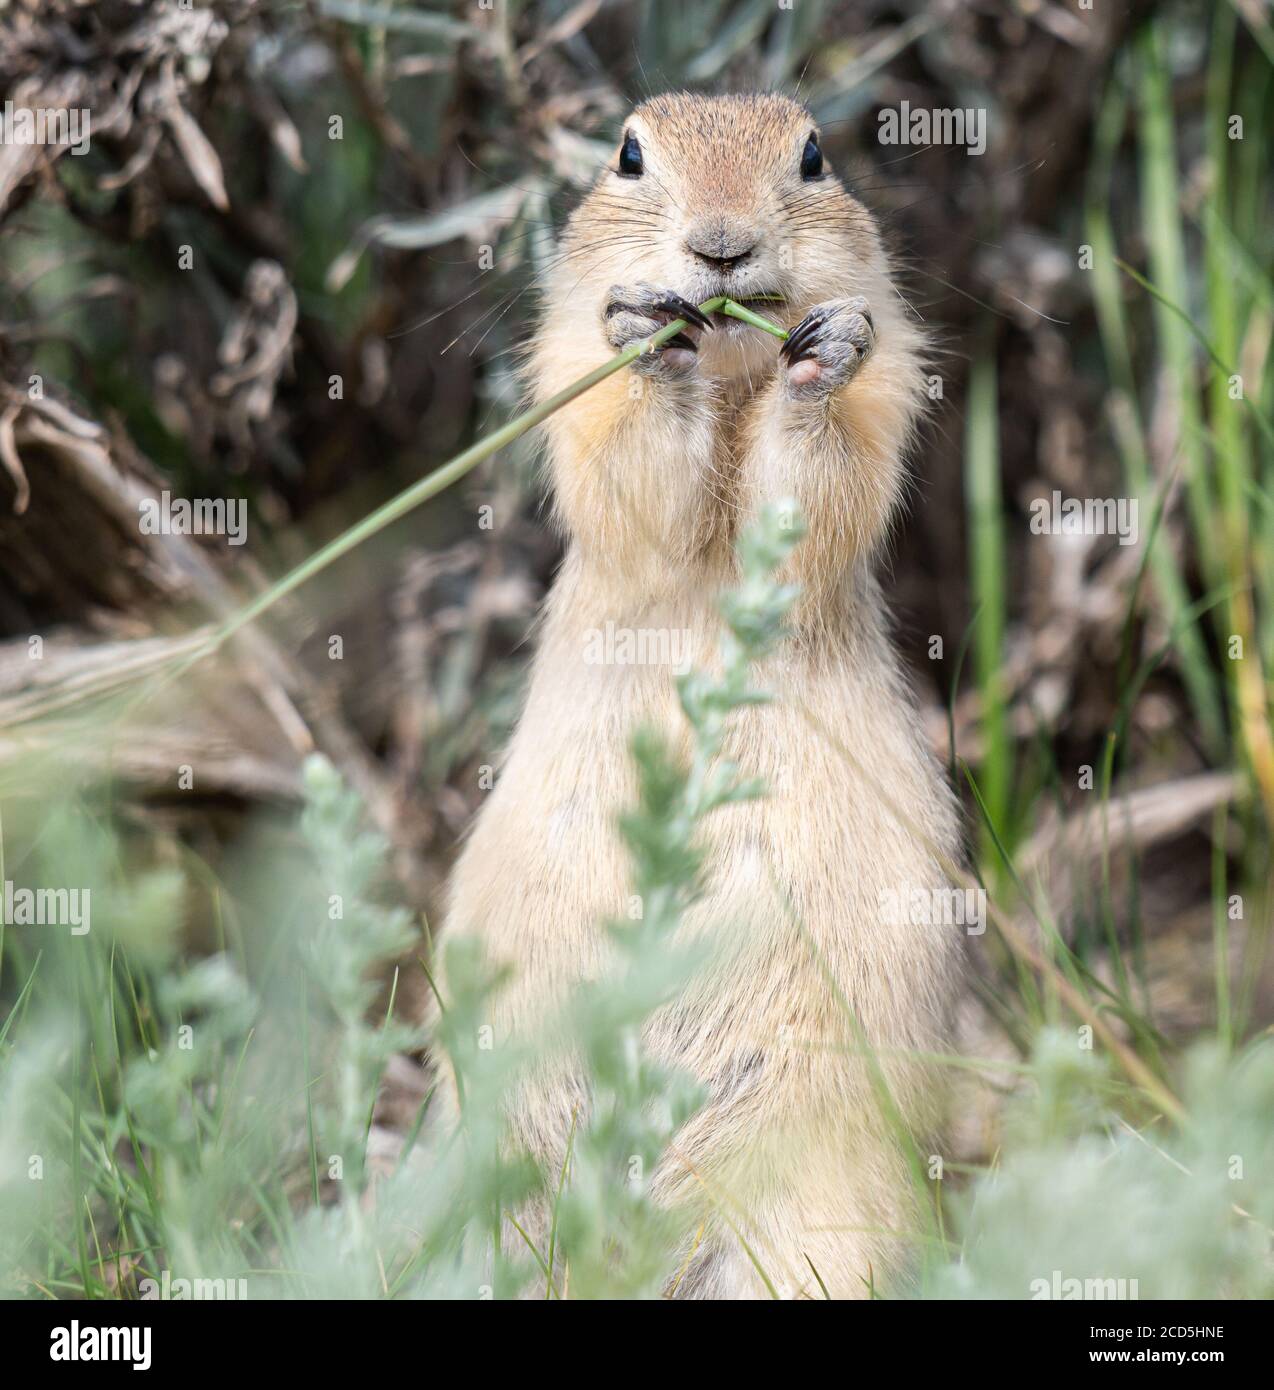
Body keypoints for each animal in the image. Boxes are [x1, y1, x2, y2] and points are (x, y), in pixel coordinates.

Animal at [439, 92, 963, 1300]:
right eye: (629, 154)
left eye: (813, 155)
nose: (719, 247)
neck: (730, 377)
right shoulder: (569, 384)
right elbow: (631, 467)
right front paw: (649, 336)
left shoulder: (882, 396)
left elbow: (821, 476)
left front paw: (820, 355)